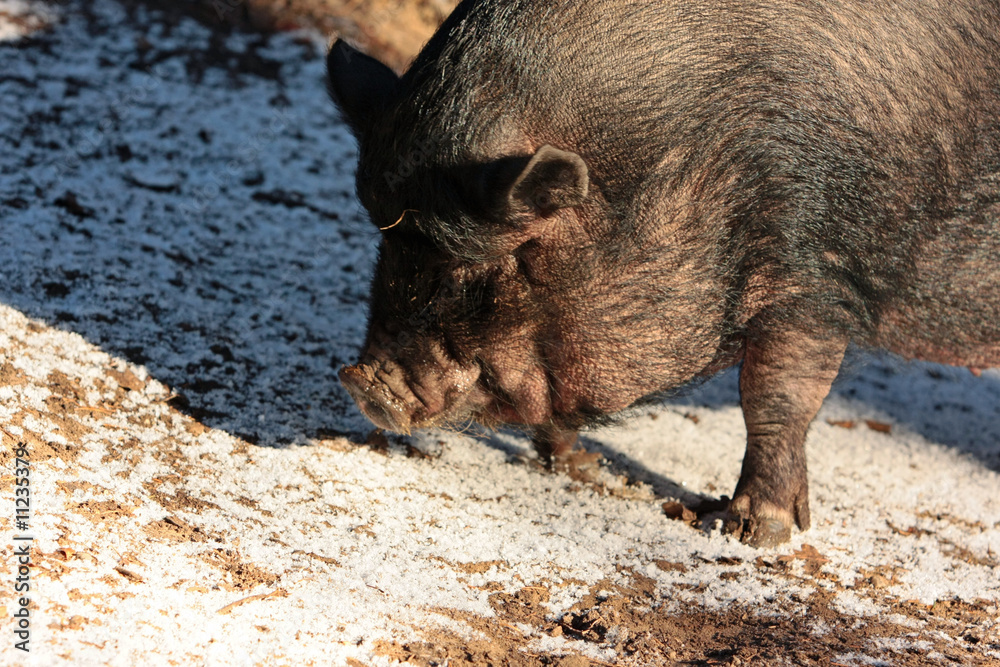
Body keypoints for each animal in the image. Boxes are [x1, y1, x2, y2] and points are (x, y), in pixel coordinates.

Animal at [327, 0, 1000, 547]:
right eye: (386, 241)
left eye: (487, 266)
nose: (364, 384)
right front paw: (583, 472)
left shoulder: (814, 267)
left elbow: (776, 395)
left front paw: (750, 534)